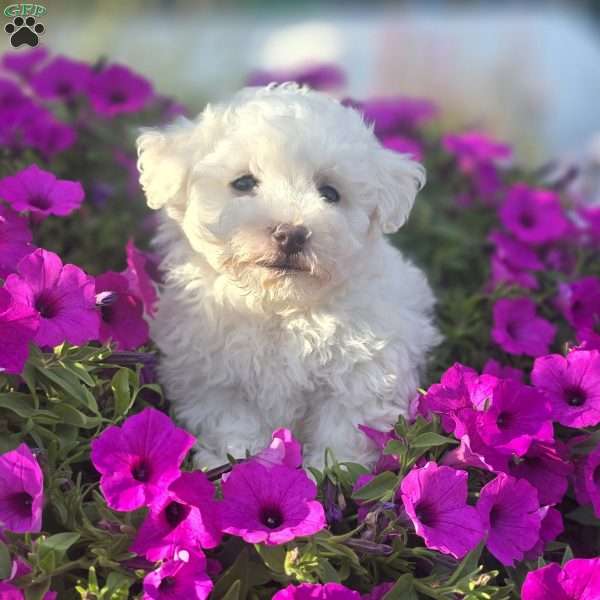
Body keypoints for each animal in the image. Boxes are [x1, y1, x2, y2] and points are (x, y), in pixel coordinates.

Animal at [138, 83, 438, 468]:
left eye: (330, 193)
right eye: (243, 183)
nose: (292, 234)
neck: (278, 307)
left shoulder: (361, 373)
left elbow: (342, 433)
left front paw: (324, 473)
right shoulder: (214, 378)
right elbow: (232, 424)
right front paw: (233, 462)